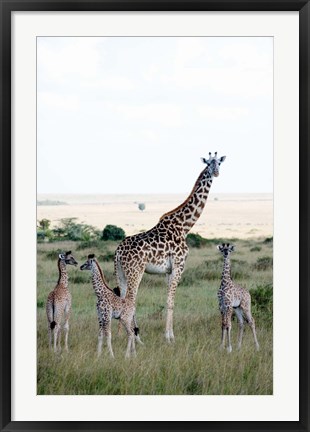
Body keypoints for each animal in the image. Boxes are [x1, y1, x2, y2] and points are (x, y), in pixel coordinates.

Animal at [114, 152, 225, 340]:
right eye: (209, 163)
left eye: (219, 163)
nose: (216, 172)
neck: (184, 226)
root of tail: (118, 252)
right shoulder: (179, 265)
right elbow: (171, 301)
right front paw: (169, 337)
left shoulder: (168, 270)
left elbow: (169, 300)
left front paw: (169, 333)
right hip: (135, 271)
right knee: (130, 299)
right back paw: (135, 336)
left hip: (120, 272)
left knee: (122, 298)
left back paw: (121, 335)